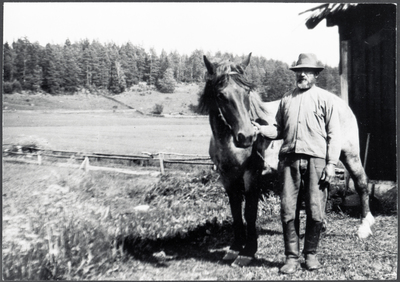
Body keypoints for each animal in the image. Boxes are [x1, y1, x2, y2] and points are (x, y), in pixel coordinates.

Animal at [202, 53, 376, 266]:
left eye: (247, 92)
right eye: (221, 95)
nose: (247, 137)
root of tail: (340, 103)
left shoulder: (252, 174)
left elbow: (249, 211)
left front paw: (247, 252)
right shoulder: (227, 176)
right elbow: (235, 210)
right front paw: (234, 248)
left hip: (350, 153)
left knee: (361, 182)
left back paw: (364, 227)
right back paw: (323, 224)